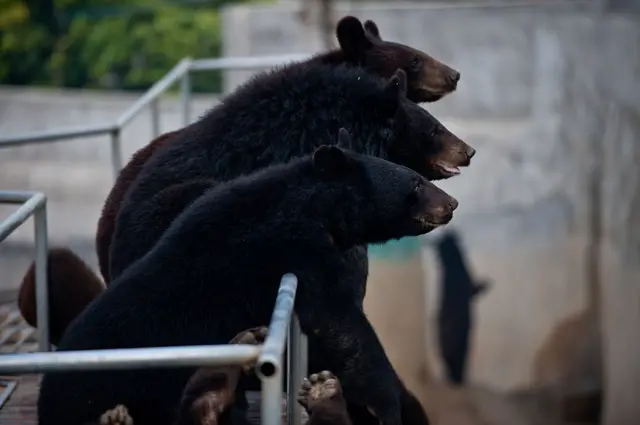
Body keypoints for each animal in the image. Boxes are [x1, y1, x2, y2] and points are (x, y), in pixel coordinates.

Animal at [37, 140, 458, 424]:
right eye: (416, 183)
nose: (451, 203)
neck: (317, 207)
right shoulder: (296, 250)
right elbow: (341, 323)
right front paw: (384, 404)